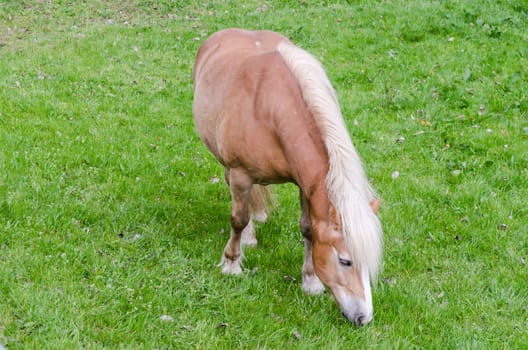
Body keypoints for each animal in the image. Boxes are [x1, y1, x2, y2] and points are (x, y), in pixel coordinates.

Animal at [192, 28, 382, 326]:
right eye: (345, 261)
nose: (364, 317)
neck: (270, 112)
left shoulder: (306, 185)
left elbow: (308, 228)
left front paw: (310, 281)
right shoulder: (240, 174)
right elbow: (238, 219)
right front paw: (232, 263)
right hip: (228, 167)